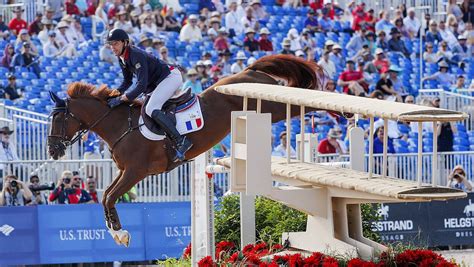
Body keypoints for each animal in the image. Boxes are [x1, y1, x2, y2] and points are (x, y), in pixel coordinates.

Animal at [48, 54, 328, 247]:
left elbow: (109, 196)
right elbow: (106, 195)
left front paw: (120, 234)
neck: (120, 126)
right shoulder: (126, 171)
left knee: (303, 100)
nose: (52, 151)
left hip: (273, 107)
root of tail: (249, 72)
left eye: (58, 119)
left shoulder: (136, 172)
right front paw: (117, 233)